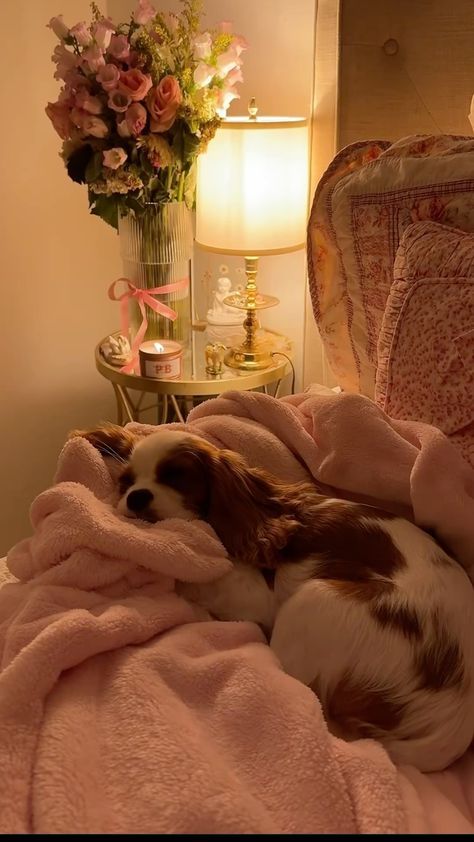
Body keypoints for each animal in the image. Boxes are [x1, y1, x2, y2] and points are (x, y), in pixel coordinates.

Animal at [73, 424, 474, 772]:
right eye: (126, 483)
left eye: (175, 476)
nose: (136, 497)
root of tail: (451, 727)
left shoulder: (255, 595)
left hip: (317, 598)